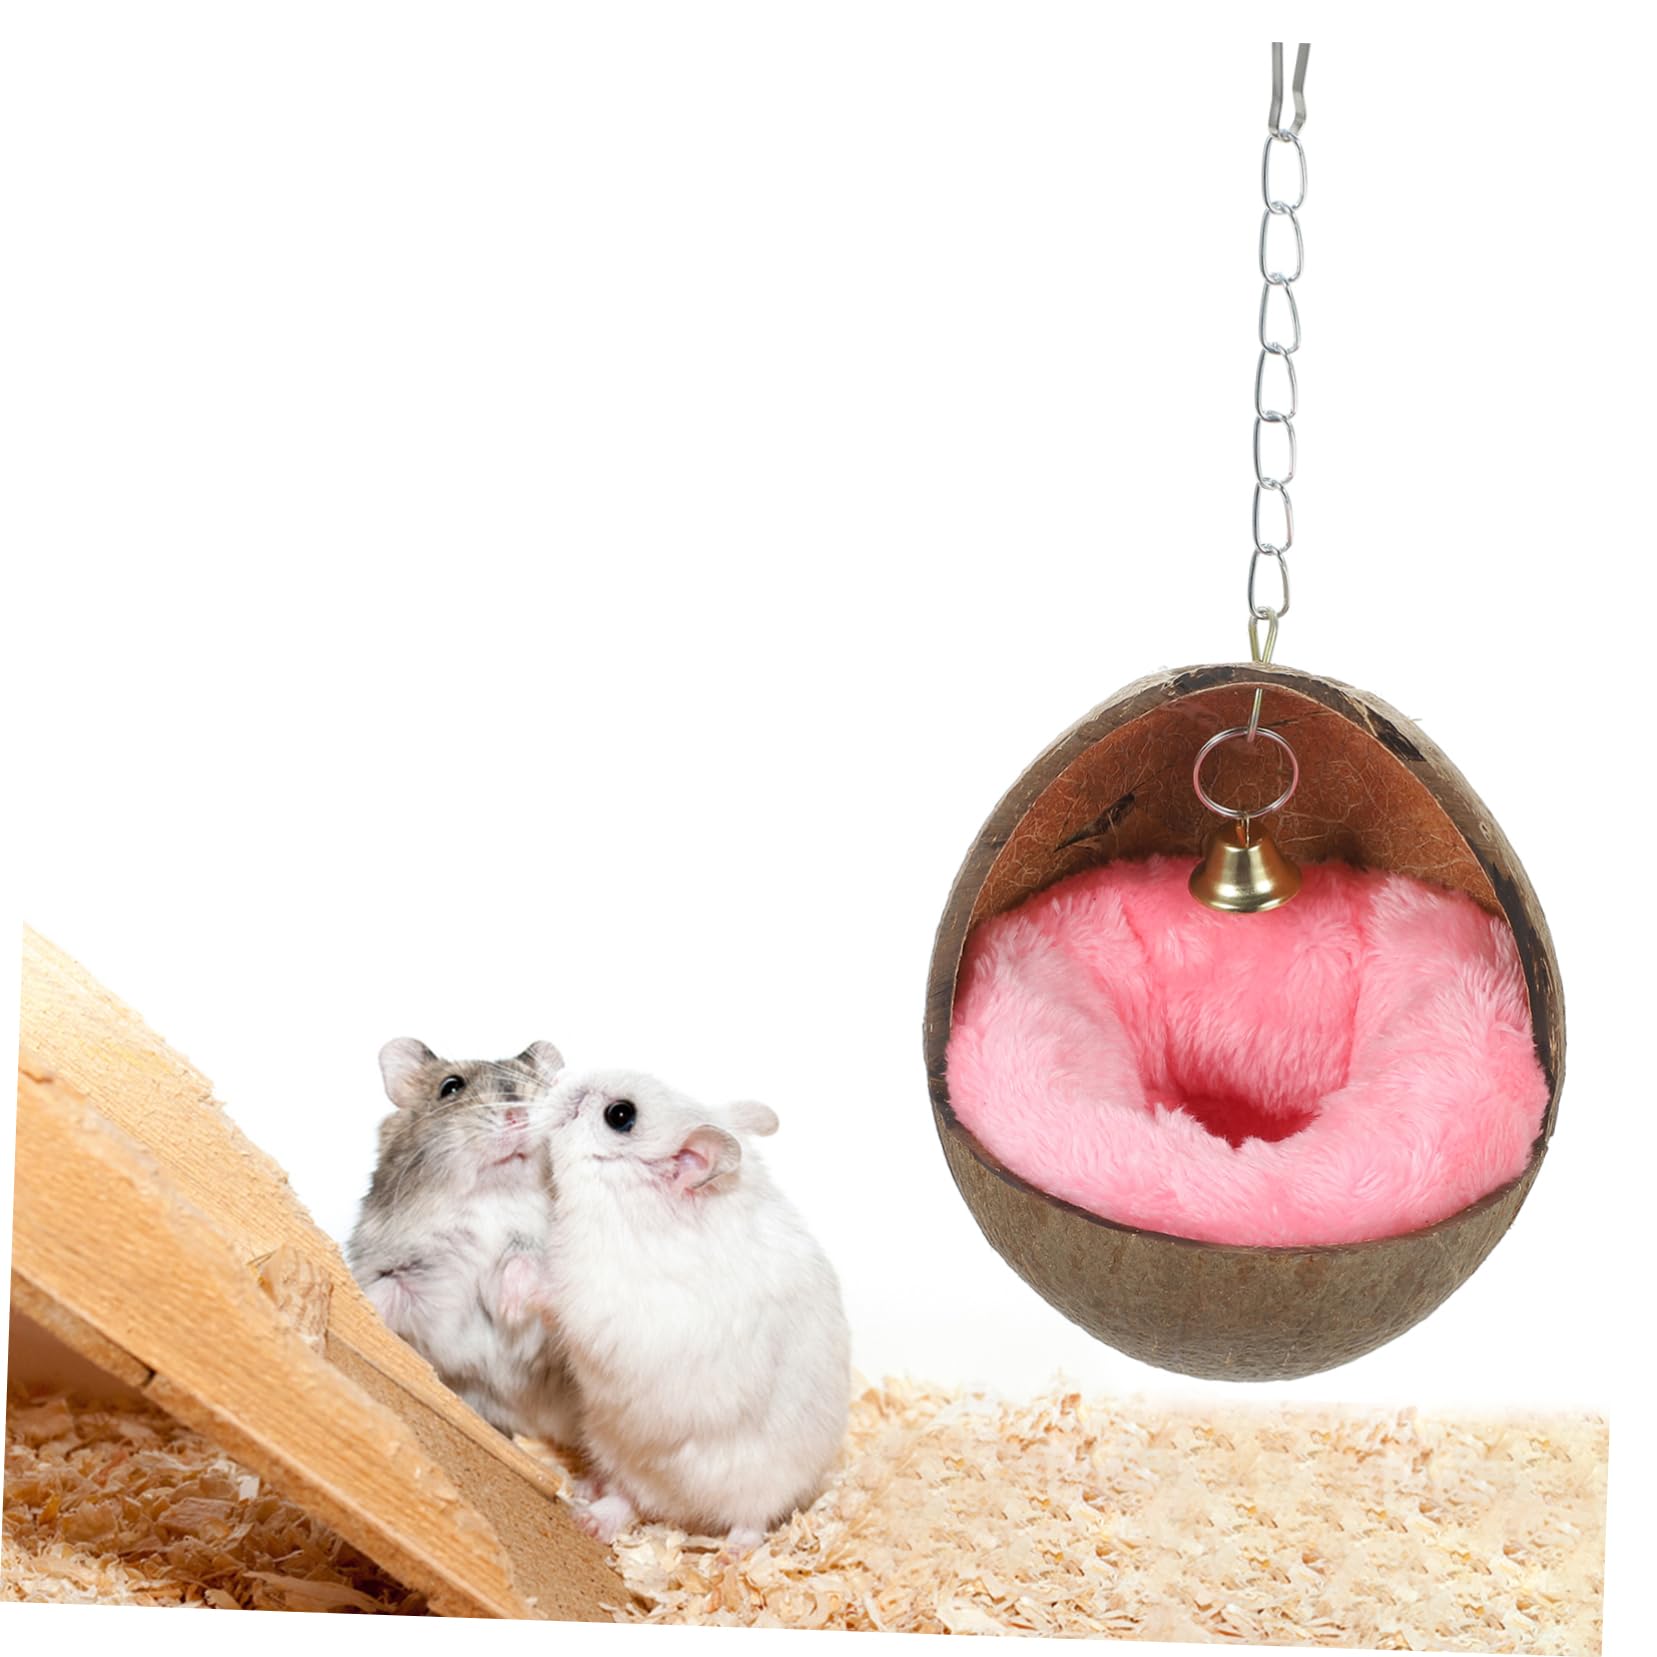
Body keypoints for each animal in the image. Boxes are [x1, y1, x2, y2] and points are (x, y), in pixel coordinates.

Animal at [346, 1037, 579, 1446]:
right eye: (450, 1087)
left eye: (545, 1089)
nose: (519, 1115)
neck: (493, 1199)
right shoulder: (403, 1269)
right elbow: (386, 1291)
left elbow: (528, 1261)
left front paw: (510, 1307)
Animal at [536, 1068, 850, 1550]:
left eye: (620, 1115)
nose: (563, 1080)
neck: (630, 1205)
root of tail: (682, 1510)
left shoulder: (610, 1305)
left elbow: (560, 1297)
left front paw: (513, 1279)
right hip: (614, 1446)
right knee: (625, 1499)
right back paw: (588, 1512)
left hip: (760, 1480)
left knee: (749, 1519)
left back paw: (732, 1555)